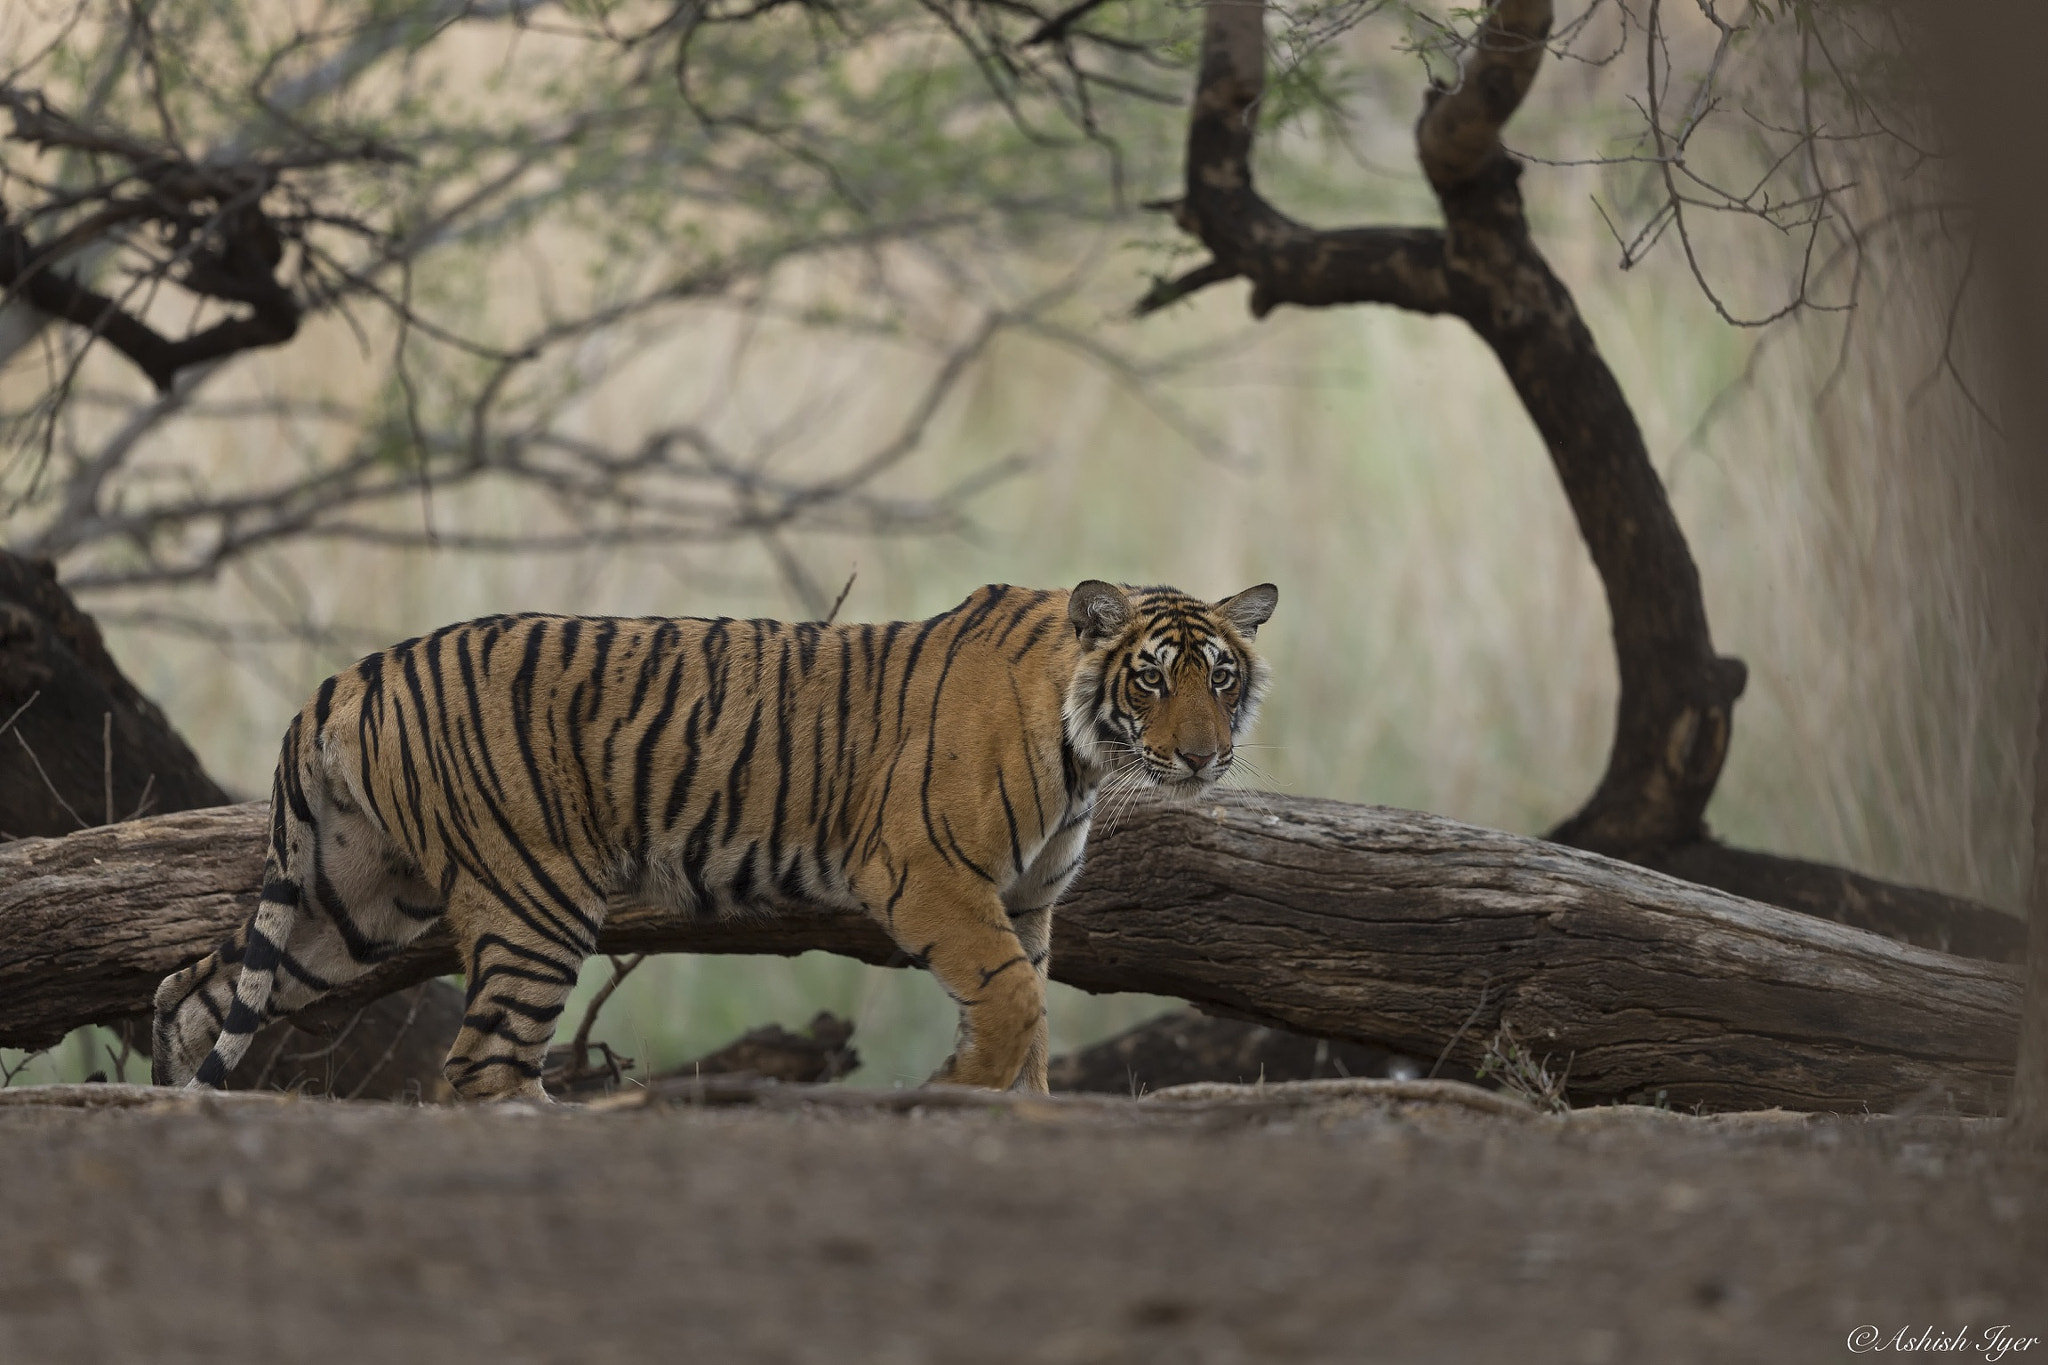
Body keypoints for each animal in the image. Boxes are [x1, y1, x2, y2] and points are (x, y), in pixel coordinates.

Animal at [155, 577, 1277, 1096]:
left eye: (1221, 678)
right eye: (1152, 679)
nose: (1204, 756)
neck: (1086, 757)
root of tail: (356, 671)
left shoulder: (1028, 903)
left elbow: (1031, 1013)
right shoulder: (929, 876)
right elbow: (1012, 1004)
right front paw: (958, 1091)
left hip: (355, 898)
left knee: (193, 990)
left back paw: (174, 1097)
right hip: (530, 898)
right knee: (480, 1067)